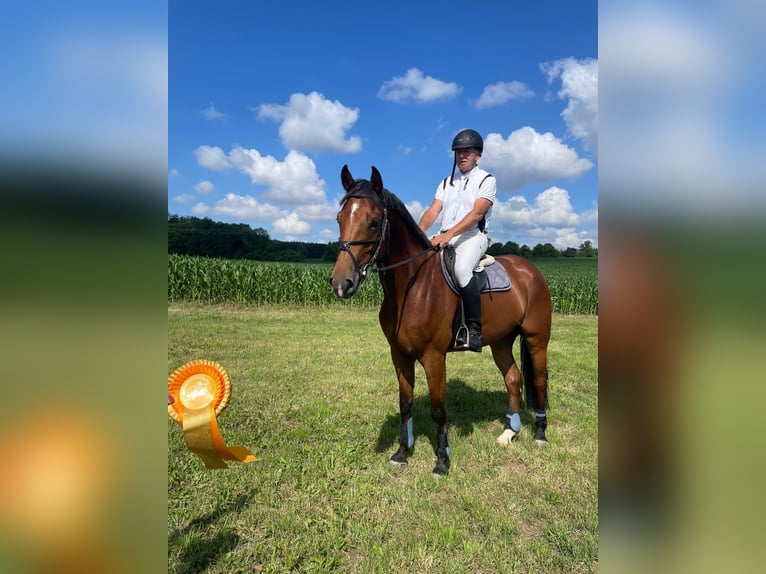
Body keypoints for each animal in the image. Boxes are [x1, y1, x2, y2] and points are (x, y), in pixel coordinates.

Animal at [330, 165, 552, 475]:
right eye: (340, 218)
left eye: (373, 222)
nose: (341, 284)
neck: (412, 285)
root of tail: (530, 270)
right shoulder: (399, 354)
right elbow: (406, 403)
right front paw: (401, 453)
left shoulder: (434, 357)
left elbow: (438, 409)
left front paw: (442, 461)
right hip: (501, 342)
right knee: (513, 379)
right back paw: (509, 433)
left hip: (536, 339)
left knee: (539, 380)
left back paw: (540, 434)